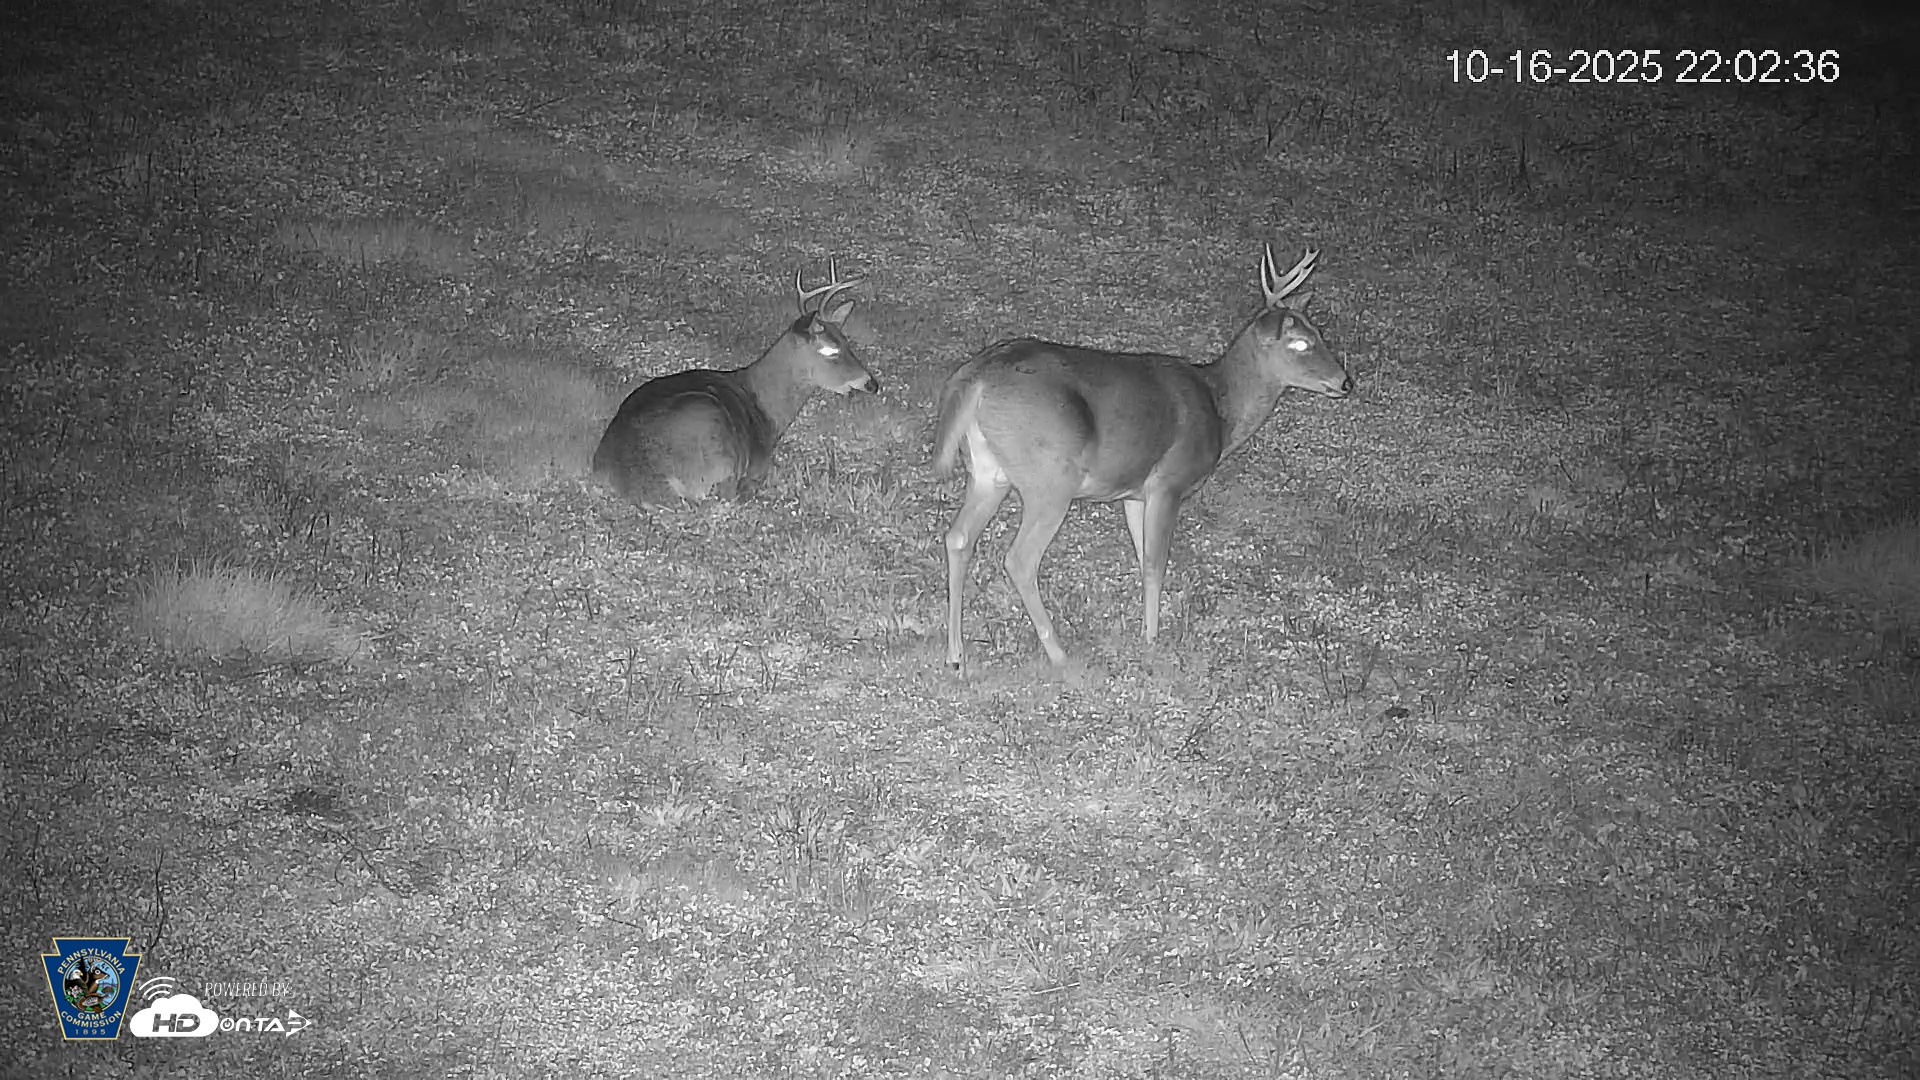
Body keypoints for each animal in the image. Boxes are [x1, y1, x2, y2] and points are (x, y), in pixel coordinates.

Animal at [592, 258, 877, 508]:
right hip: (710, 432)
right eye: (830, 350)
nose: (871, 383)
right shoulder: (756, 465)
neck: (766, 411)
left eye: (847, 342)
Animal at [932, 245, 1351, 667]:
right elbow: (1155, 563)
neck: (1219, 409)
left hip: (988, 472)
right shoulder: (1168, 483)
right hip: (1050, 479)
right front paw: (1151, 638)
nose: (1345, 382)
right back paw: (1059, 653)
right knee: (1019, 559)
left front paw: (1144, 628)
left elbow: (1141, 555)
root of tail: (976, 376)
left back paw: (956, 654)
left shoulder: (1134, 493)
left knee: (958, 538)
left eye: (1319, 334)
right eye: (1299, 343)